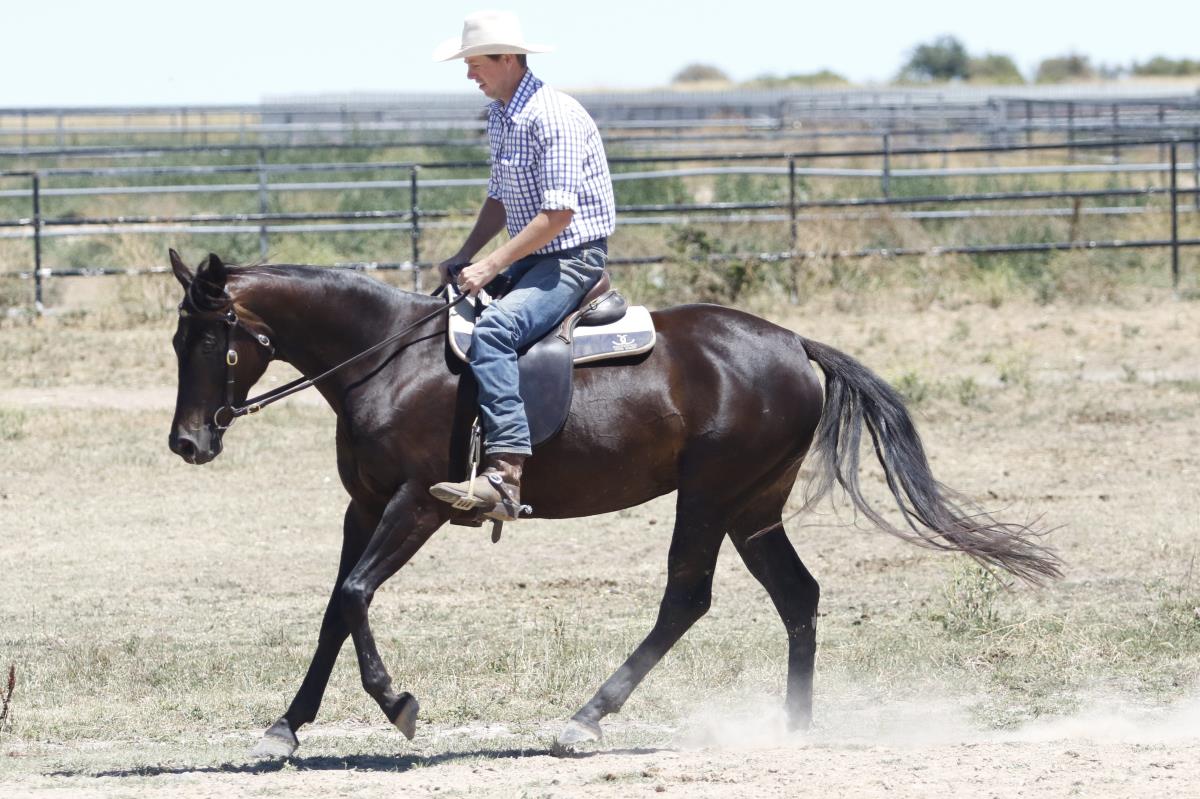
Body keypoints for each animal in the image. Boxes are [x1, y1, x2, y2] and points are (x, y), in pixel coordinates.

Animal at [166, 250, 1059, 757]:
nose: (186, 443)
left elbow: (354, 595)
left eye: (212, 339)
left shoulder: (417, 503)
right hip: (752, 507)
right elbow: (333, 608)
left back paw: (586, 717)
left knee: (686, 599)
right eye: (178, 340)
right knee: (797, 595)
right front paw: (285, 726)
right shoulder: (365, 506)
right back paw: (792, 727)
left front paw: (399, 704)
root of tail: (794, 344)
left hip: (709, 496)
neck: (389, 360)